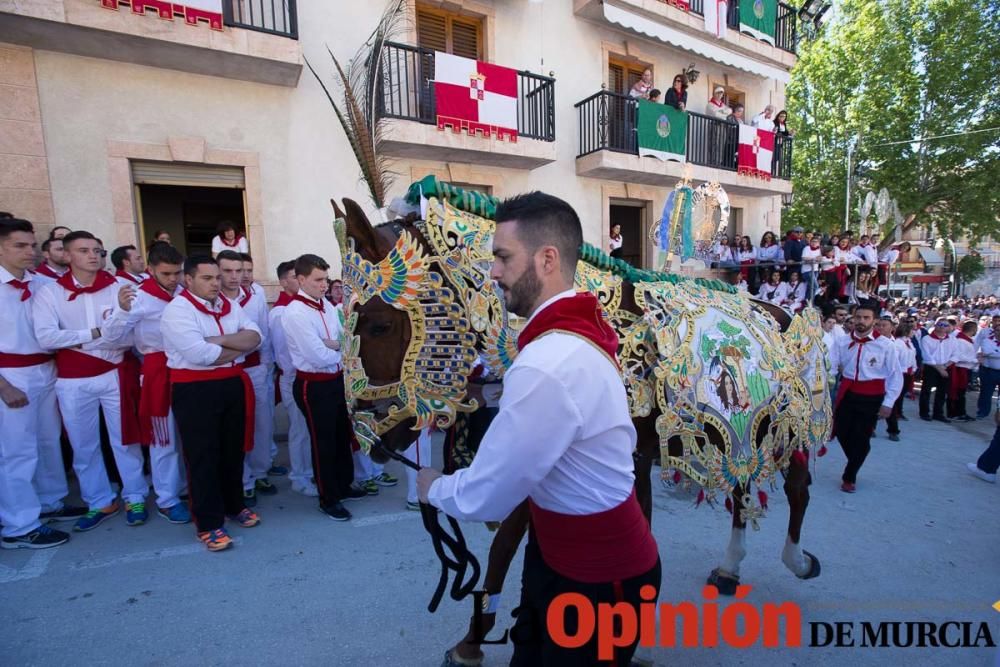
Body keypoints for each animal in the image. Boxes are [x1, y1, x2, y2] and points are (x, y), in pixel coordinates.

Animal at [328, 179, 828, 667]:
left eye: (376, 325)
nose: (367, 431)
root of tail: (782, 312)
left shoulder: (615, 453)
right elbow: (505, 543)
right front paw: (472, 640)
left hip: (787, 423)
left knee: (797, 486)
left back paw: (797, 559)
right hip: (742, 432)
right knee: (742, 486)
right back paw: (729, 568)